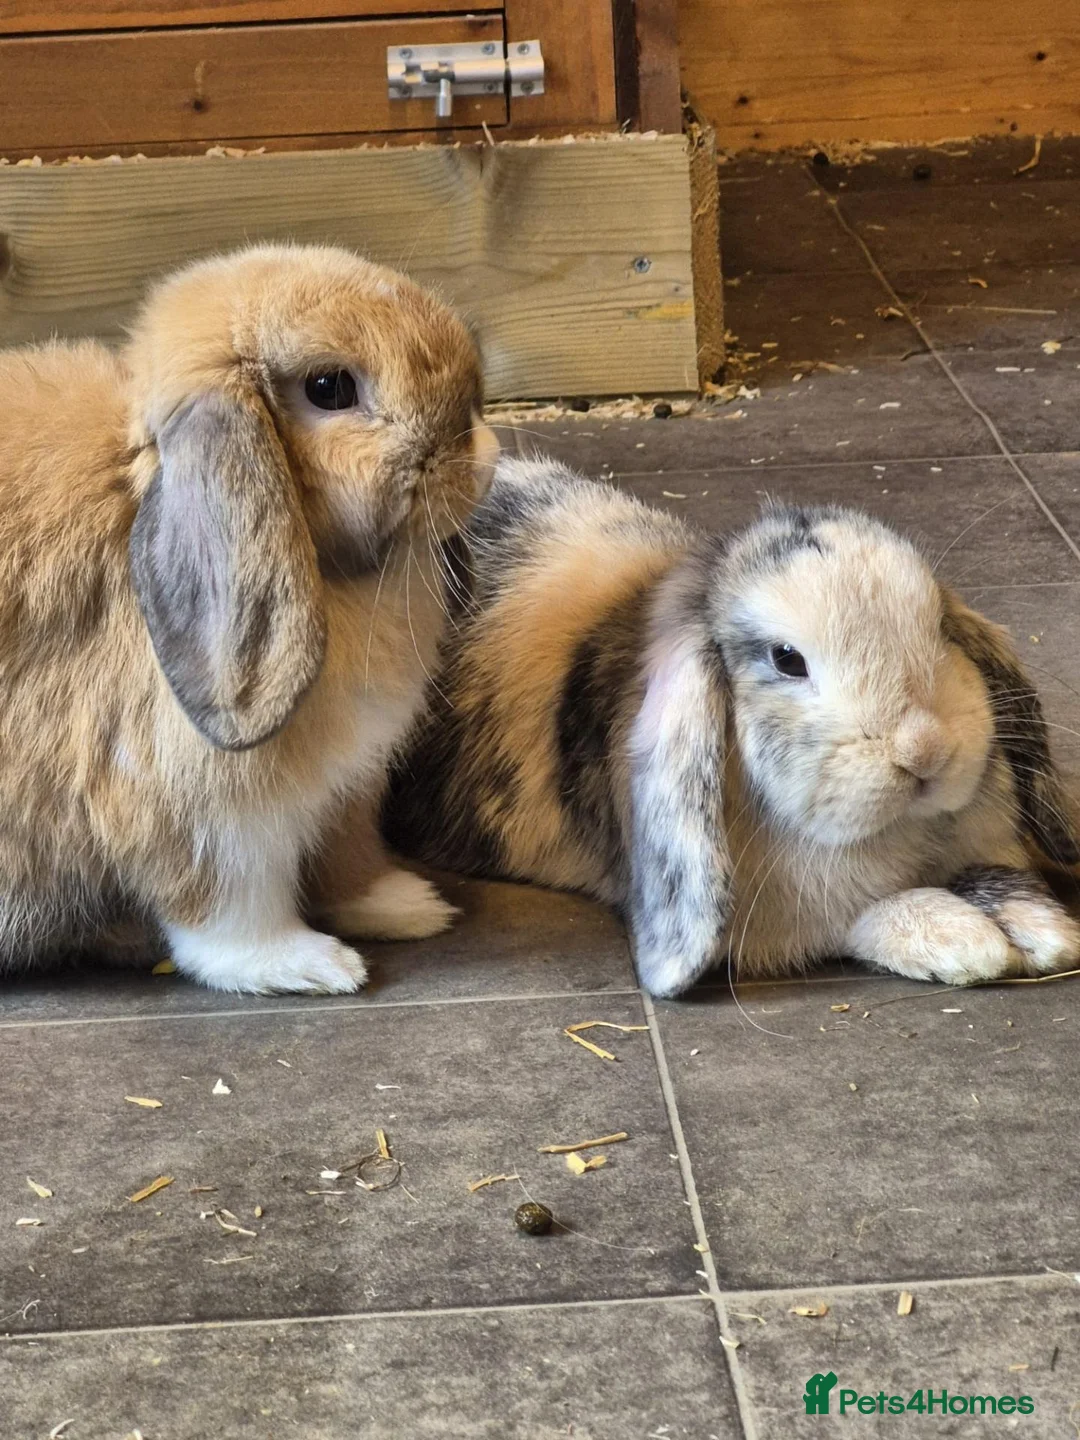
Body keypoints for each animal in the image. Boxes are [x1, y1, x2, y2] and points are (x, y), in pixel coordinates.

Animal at [0, 242, 498, 994]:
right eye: (329, 388)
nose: (485, 452)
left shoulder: (345, 787)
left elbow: (346, 853)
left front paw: (404, 905)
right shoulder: (203, 807)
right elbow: (228, 905)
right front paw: (308, 964)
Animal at [384, 456, 1080, 997]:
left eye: (938, 623)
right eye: (787, 659)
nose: (925, 751)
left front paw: (1039, 928)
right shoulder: (787, 918)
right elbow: (864, 916)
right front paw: (961, 939)